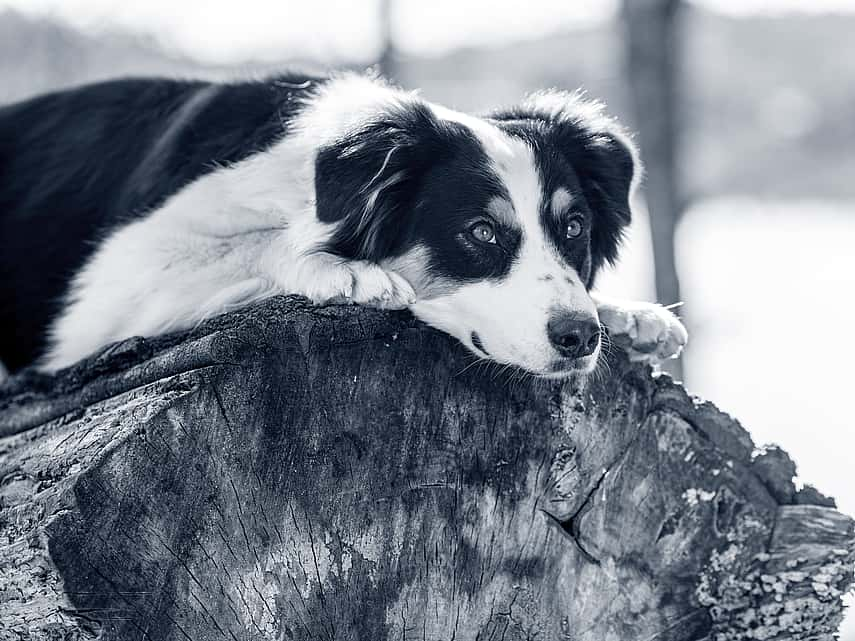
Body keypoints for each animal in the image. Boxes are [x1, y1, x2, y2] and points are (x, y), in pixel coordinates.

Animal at [0, 72, 688, 378]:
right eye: (480, 233)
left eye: (573, 228)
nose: (581, 337)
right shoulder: (106, 287)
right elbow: (259, 243)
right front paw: (348, 271)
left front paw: (629, 314)